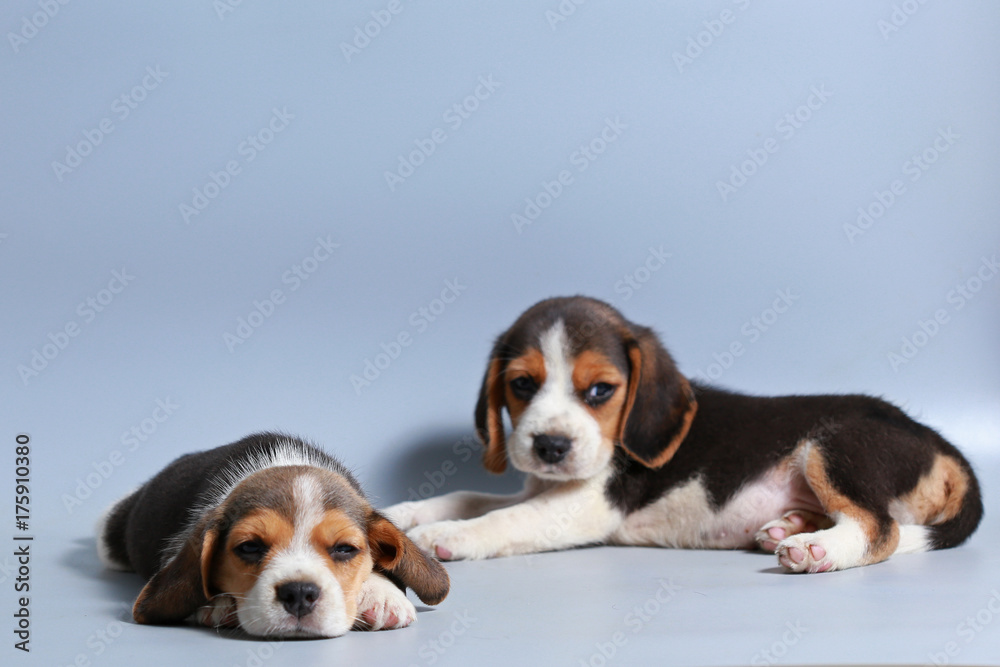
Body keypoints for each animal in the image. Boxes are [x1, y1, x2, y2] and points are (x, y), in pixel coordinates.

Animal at [384, 298, 984, 576]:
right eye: (523, 385)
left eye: (599, 390)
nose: (550, 447)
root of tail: (941, 443)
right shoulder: (539, 488)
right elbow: (466, 496)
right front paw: (404, 514)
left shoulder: (585, 508)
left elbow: (503, 519)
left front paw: (448, 536)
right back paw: (785, 525)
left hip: (833, 444)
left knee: (881, 528)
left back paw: (815, 547)